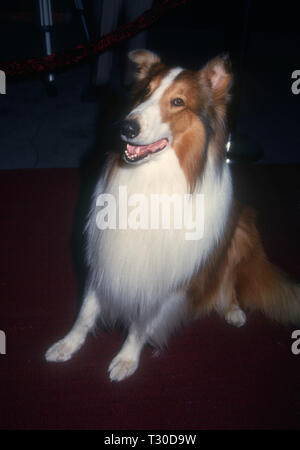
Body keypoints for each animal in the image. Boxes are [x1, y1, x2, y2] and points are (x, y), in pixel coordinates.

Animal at [45, 50, 300, 380]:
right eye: (145, 91)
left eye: (178, 101)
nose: (126, 128)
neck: (152, 176)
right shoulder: (104, 254)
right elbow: (86, 311)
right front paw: (68, 344)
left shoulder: (163, 273)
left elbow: (141, 323)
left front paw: (126, 358)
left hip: (242, 231)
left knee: (229, 281)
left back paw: (232, 309)